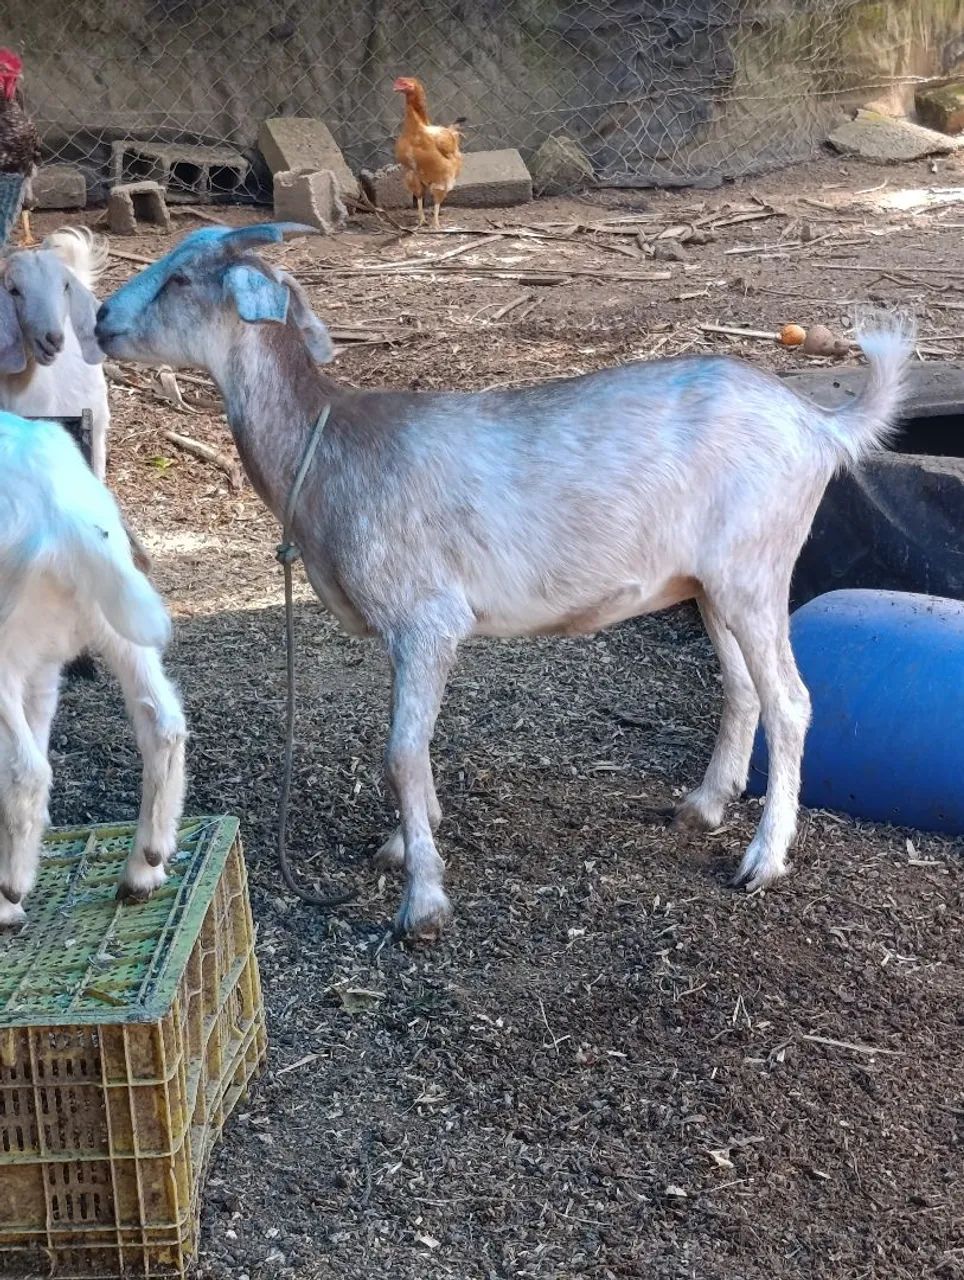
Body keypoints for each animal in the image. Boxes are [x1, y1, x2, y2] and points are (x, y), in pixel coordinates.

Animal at [0, 409, 187, 927]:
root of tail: (64, 515)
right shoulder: (42, 666)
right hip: (114, 621)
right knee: (163, 723)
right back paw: (144, 869)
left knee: (26, 769)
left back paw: (9, 892)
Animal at [95, 224, 913, 941]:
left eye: (179, 279)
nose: (100, 318)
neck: (327, 446)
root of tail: (818, 424)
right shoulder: (407, 633)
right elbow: (409, 745)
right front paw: (407, 843)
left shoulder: (427, 618)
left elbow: (400, 751)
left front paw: (422, 902)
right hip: (711, 582)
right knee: (744, 688)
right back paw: (704, 806)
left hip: (755, 568)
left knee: (791, 702)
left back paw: (762, 860)